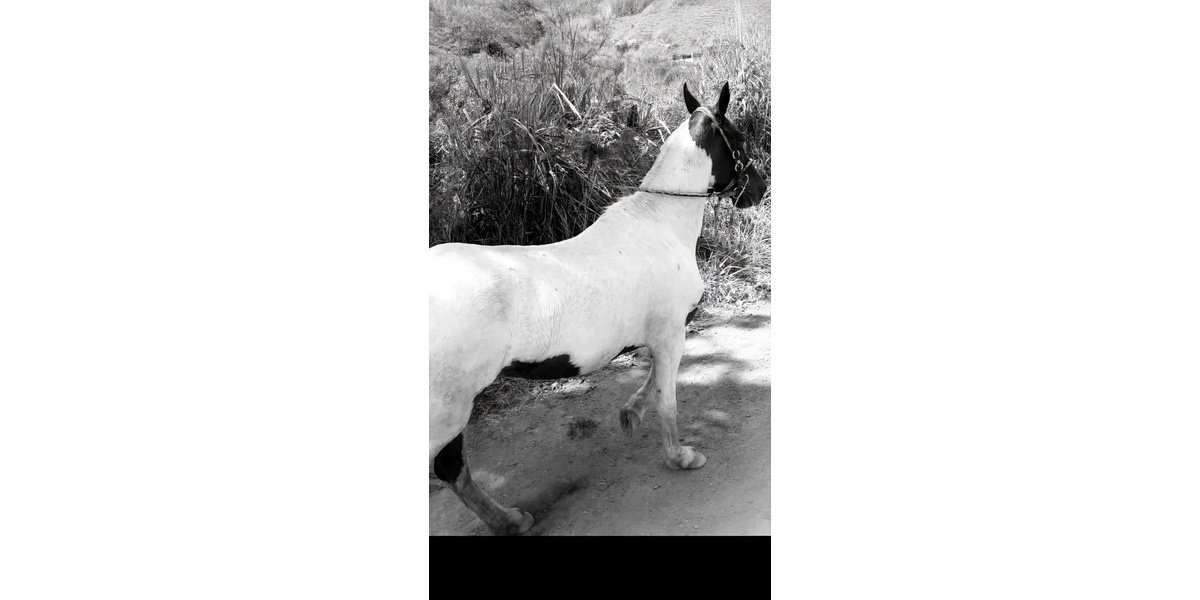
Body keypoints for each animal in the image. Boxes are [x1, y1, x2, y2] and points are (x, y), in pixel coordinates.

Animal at [429, 81, 767, 535]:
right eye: (740, 139)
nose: (761, 188)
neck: (660, 225)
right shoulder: (671, 334)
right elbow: (667, 398)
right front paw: (680, 456)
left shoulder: (663, 337)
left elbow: (652, 384)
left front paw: (630, 414)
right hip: (447, 412)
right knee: (449, 467)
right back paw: (510, 520)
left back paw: (508, 520)